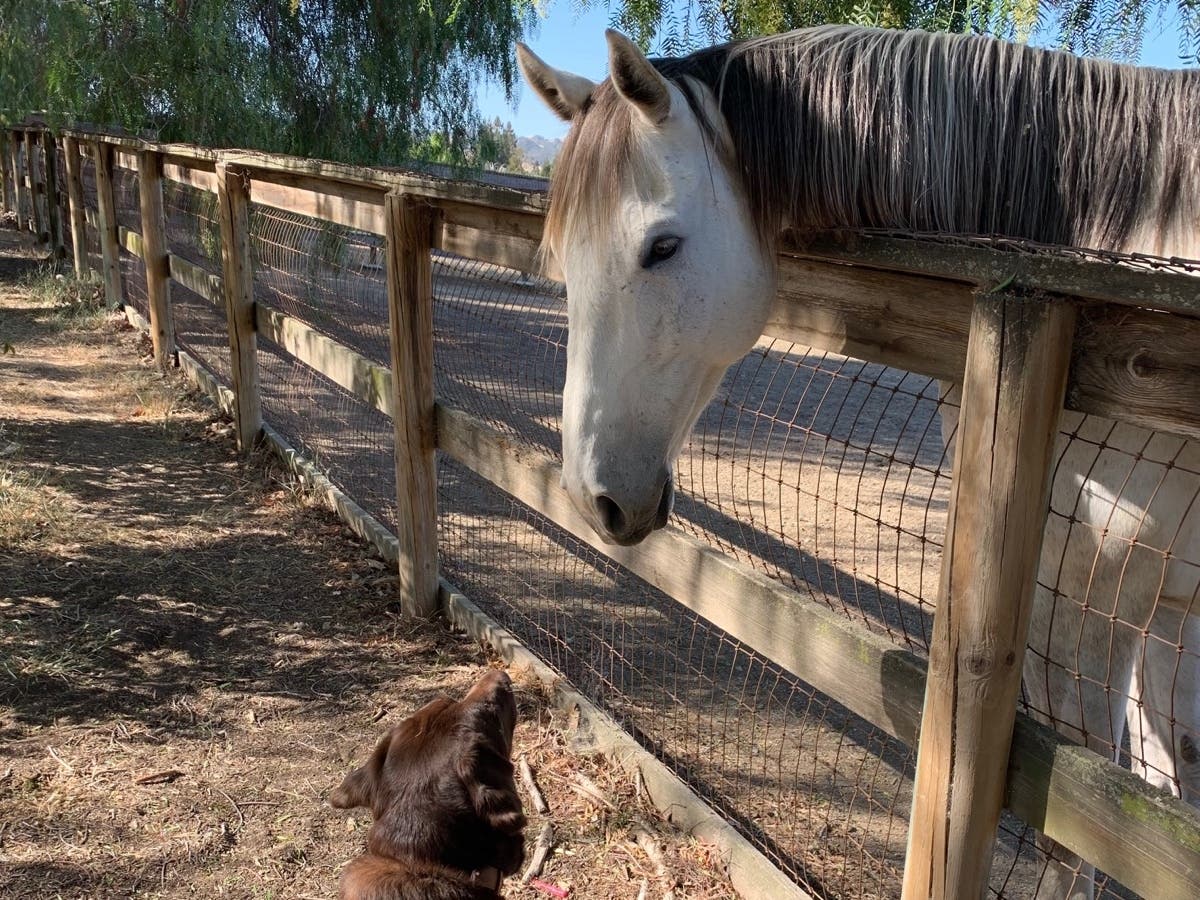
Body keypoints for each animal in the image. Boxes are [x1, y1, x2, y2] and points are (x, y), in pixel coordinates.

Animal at [517, 25, 1200, 899]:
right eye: (562, 253)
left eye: (661, 247)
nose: (593, 496)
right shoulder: (1171, 609)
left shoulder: (1085, 600)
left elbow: (1077, 838)